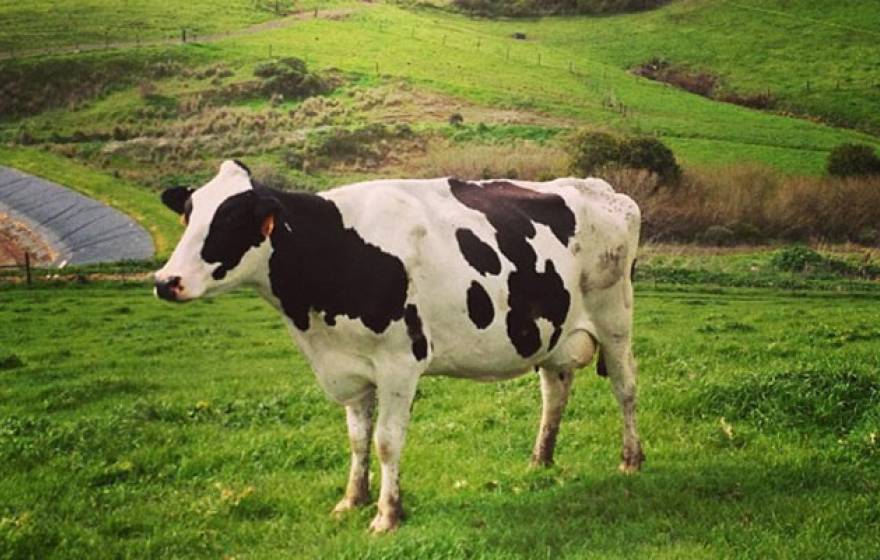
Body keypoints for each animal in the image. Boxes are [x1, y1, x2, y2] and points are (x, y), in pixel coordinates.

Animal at [154, 159, 643, 533]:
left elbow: (387, 442)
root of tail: (599, 187)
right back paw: (540, 460)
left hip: (615, 319)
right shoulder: (350, 368)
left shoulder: (398, 363)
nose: (164, 281)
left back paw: (631, 460)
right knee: (555, 391)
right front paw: (351, 500)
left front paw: (386, 515)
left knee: (625, 388)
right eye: (188, 215)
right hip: (551, 334)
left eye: (230, 220)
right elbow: (357, 439)